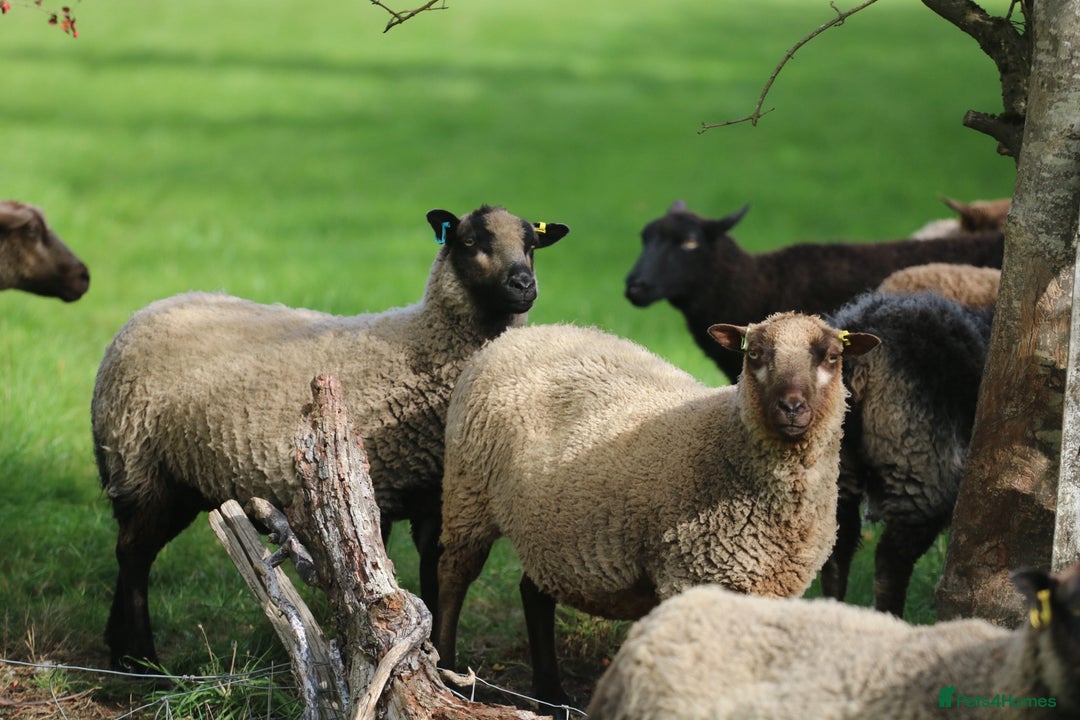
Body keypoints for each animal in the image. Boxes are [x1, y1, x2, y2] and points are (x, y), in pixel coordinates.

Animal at [91, 204, 569, 669]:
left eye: (531, 244)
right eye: (470, 242)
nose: (523, 284)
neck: (422, 345)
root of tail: (139, 317)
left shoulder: (433, 496)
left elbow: (433, 575)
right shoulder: (374, 487)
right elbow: (372, 579)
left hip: (175, 482)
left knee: (132, 550)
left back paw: (118, 649)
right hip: (141, 466)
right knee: (133, 554)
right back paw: (142, 659)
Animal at [435, 314, 880, 713]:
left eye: (832, 356)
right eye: (754, 353)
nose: (791, 407)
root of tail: (524, 334)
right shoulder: (689, 575)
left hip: (552, 524)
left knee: (534, 592)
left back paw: (551, 695)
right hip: (467, 492)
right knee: (453, 578)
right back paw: (446, 671)